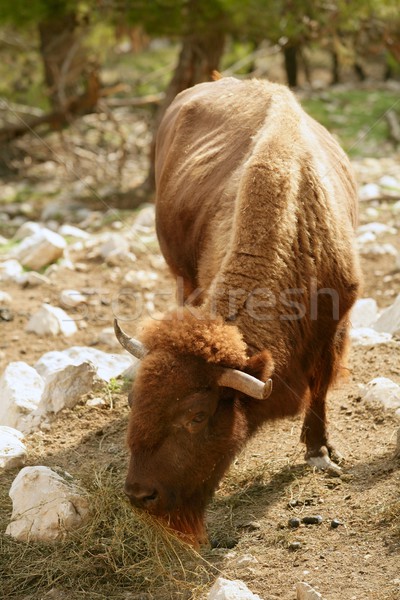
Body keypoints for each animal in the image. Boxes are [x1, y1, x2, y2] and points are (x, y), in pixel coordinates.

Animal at [114, 77, 360, 548]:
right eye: (134, 400)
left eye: (197, 416)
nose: (140, 495)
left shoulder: (333, 329)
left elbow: (320, 388)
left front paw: (319, 451)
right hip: (181, 271)